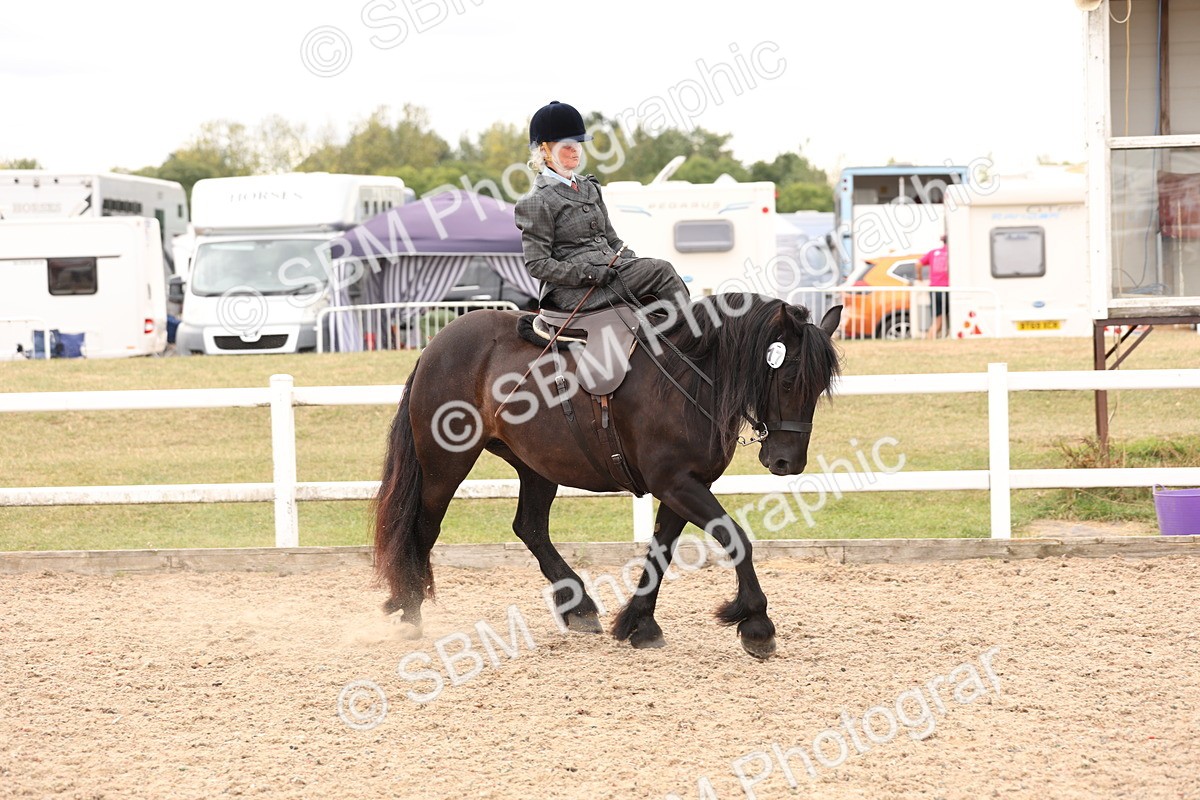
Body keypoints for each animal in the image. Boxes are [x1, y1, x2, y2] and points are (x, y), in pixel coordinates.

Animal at [373, 294, 842, 658]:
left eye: (818, 388)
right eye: (787, 382)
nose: (787, 463)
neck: (689, 377)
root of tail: (436, 344)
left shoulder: (685, 486)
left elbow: (661, 551)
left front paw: (639, 623)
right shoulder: (677, 484)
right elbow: (736, 537)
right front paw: (756, 623)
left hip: (536, 464)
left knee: (529, 527)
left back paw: (577, 606)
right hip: (445, 463)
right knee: (424, 527)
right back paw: (411, 608)